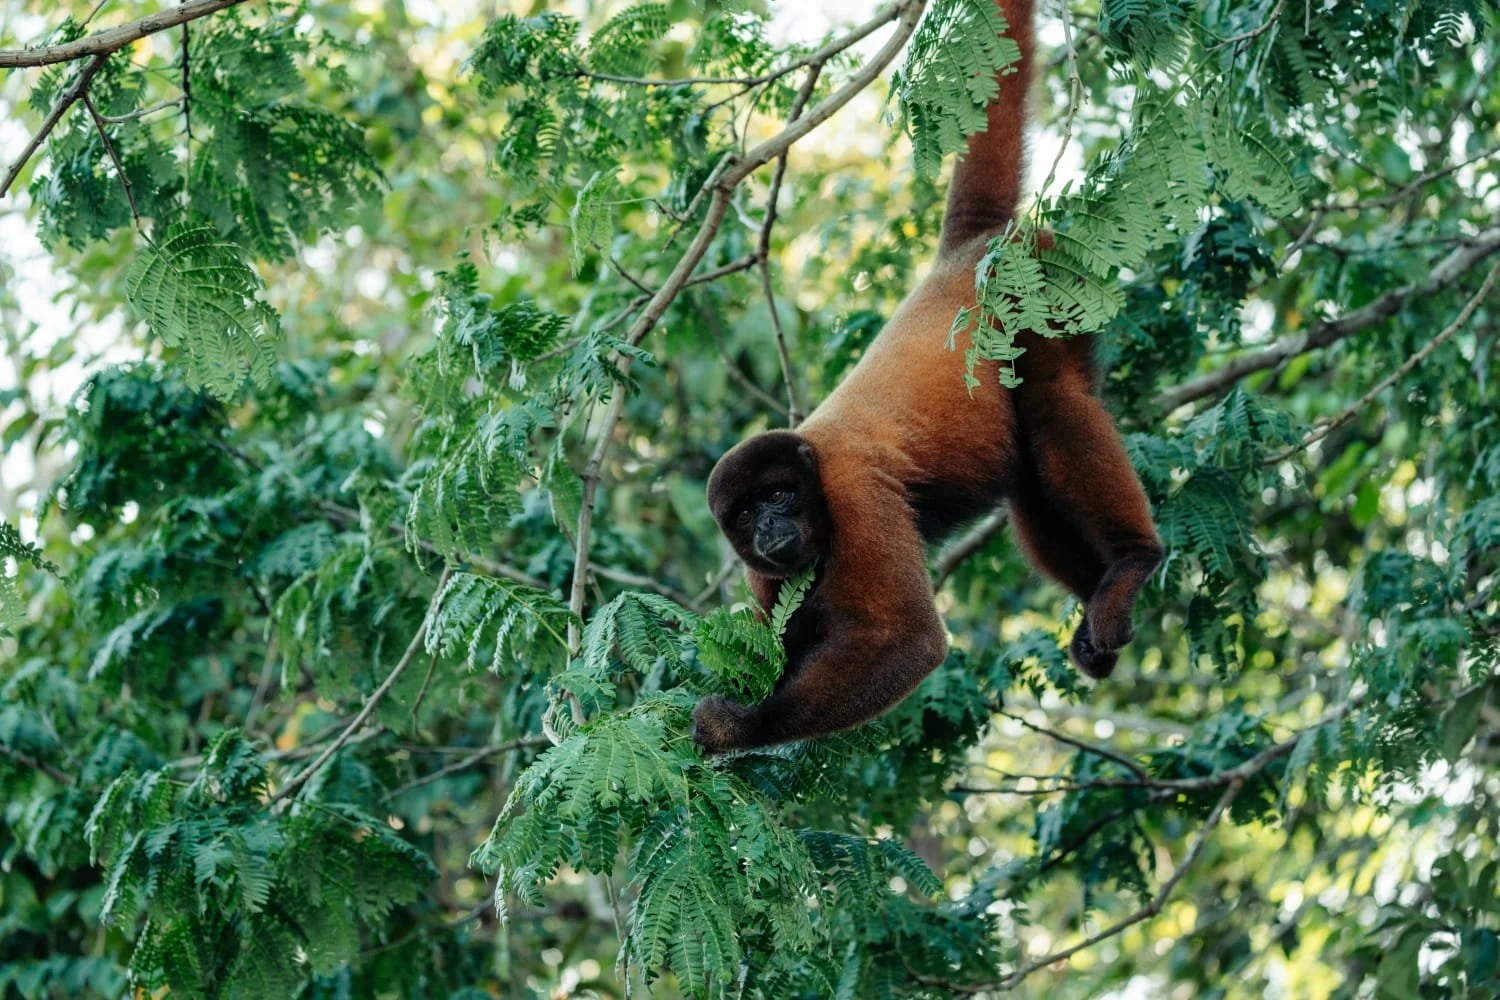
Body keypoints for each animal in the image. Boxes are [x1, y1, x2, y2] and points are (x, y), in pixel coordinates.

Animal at [691, 0, 1163, 754]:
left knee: (1055, 406)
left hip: (1043, 289)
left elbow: (909, 641)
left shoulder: (853, 492)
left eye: (781, 496)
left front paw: (737, 725)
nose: (769, 528)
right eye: (744, 513)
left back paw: (1133, 564)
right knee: (1028, 478)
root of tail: (964, 257)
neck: (812, 470)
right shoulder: (763, 578)